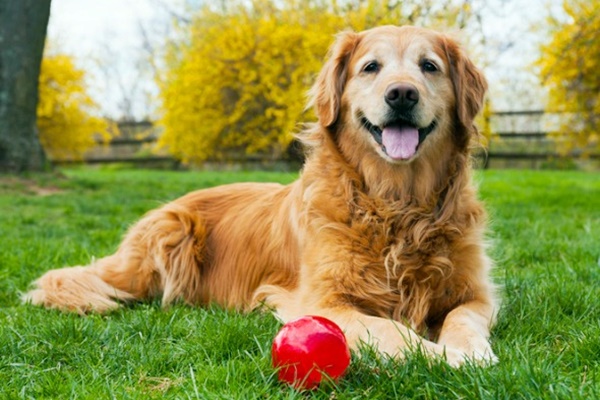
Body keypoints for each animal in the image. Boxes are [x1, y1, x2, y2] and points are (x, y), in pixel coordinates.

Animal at [24, 25, 496, 368]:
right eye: (371, 67)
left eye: (429, 66)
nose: (401, 93)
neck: (398, 204)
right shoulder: (321, 300)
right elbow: (390, 329)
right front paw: (447, 357)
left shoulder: (476, 293)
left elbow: (463, 318)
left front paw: (470, 351)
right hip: (166, 238)